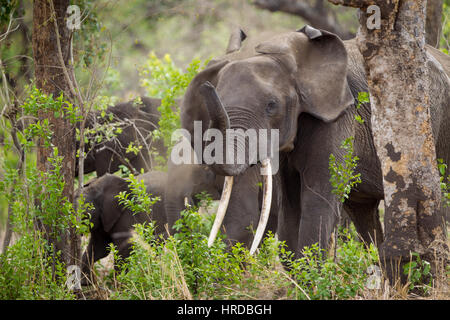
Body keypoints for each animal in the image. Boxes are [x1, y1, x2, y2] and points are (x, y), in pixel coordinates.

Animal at [179, 26, 450, 258]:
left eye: (271, 106)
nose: (206, 85)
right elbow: (290, 204)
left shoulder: (339, 115)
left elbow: (317, 195)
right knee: (363, 211)